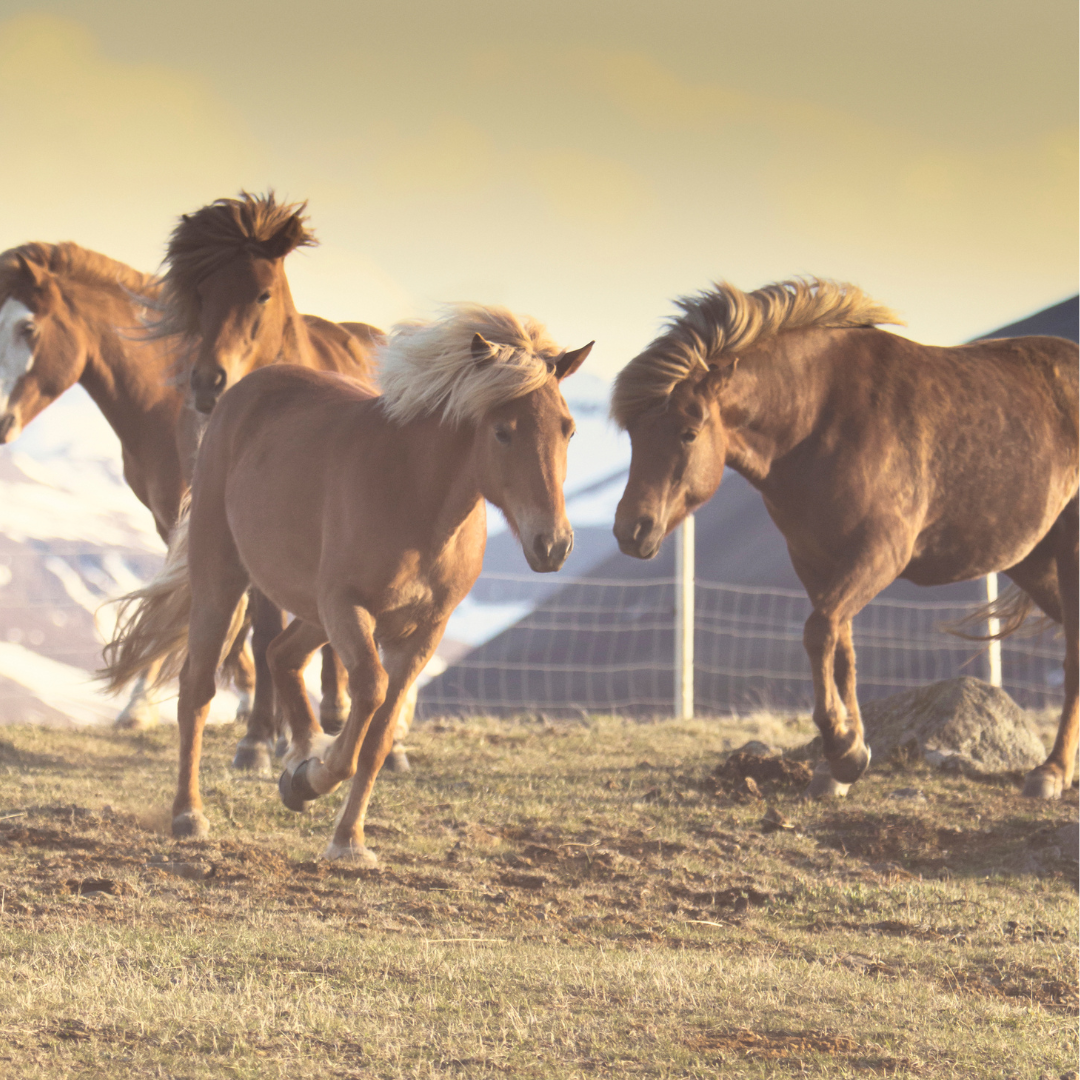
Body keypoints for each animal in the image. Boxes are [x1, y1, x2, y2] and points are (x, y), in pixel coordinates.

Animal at [105, 304, 596, 859]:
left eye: (568, 430)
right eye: (503, 431)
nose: (553, 545)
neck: (418, 498)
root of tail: (240, 393)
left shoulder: (423, 631)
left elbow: (379, 734)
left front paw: (345, 835)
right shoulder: (348, 606)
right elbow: (369, 692)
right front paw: (314, 778)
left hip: (312, 612)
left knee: (280, 654)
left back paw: (297, 754)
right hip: (224, 581)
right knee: (198, 686)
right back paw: (189, 813)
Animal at [145, 192, 386, 768]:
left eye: (262, 293)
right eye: (202, 293)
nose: (207, 383)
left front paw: (282, 734)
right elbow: (265, 633)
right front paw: (261, 737)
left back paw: (338, 712)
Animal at [613, 276, 1075, 803]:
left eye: (688, 433)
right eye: (634, 434)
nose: (630, 530)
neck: (822, 418)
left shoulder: (880, 554)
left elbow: (819, 632)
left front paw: (842, 749)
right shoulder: (816, 561)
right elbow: (842, 650)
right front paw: (844, 759)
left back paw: (1052, 772)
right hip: (1034, 561)